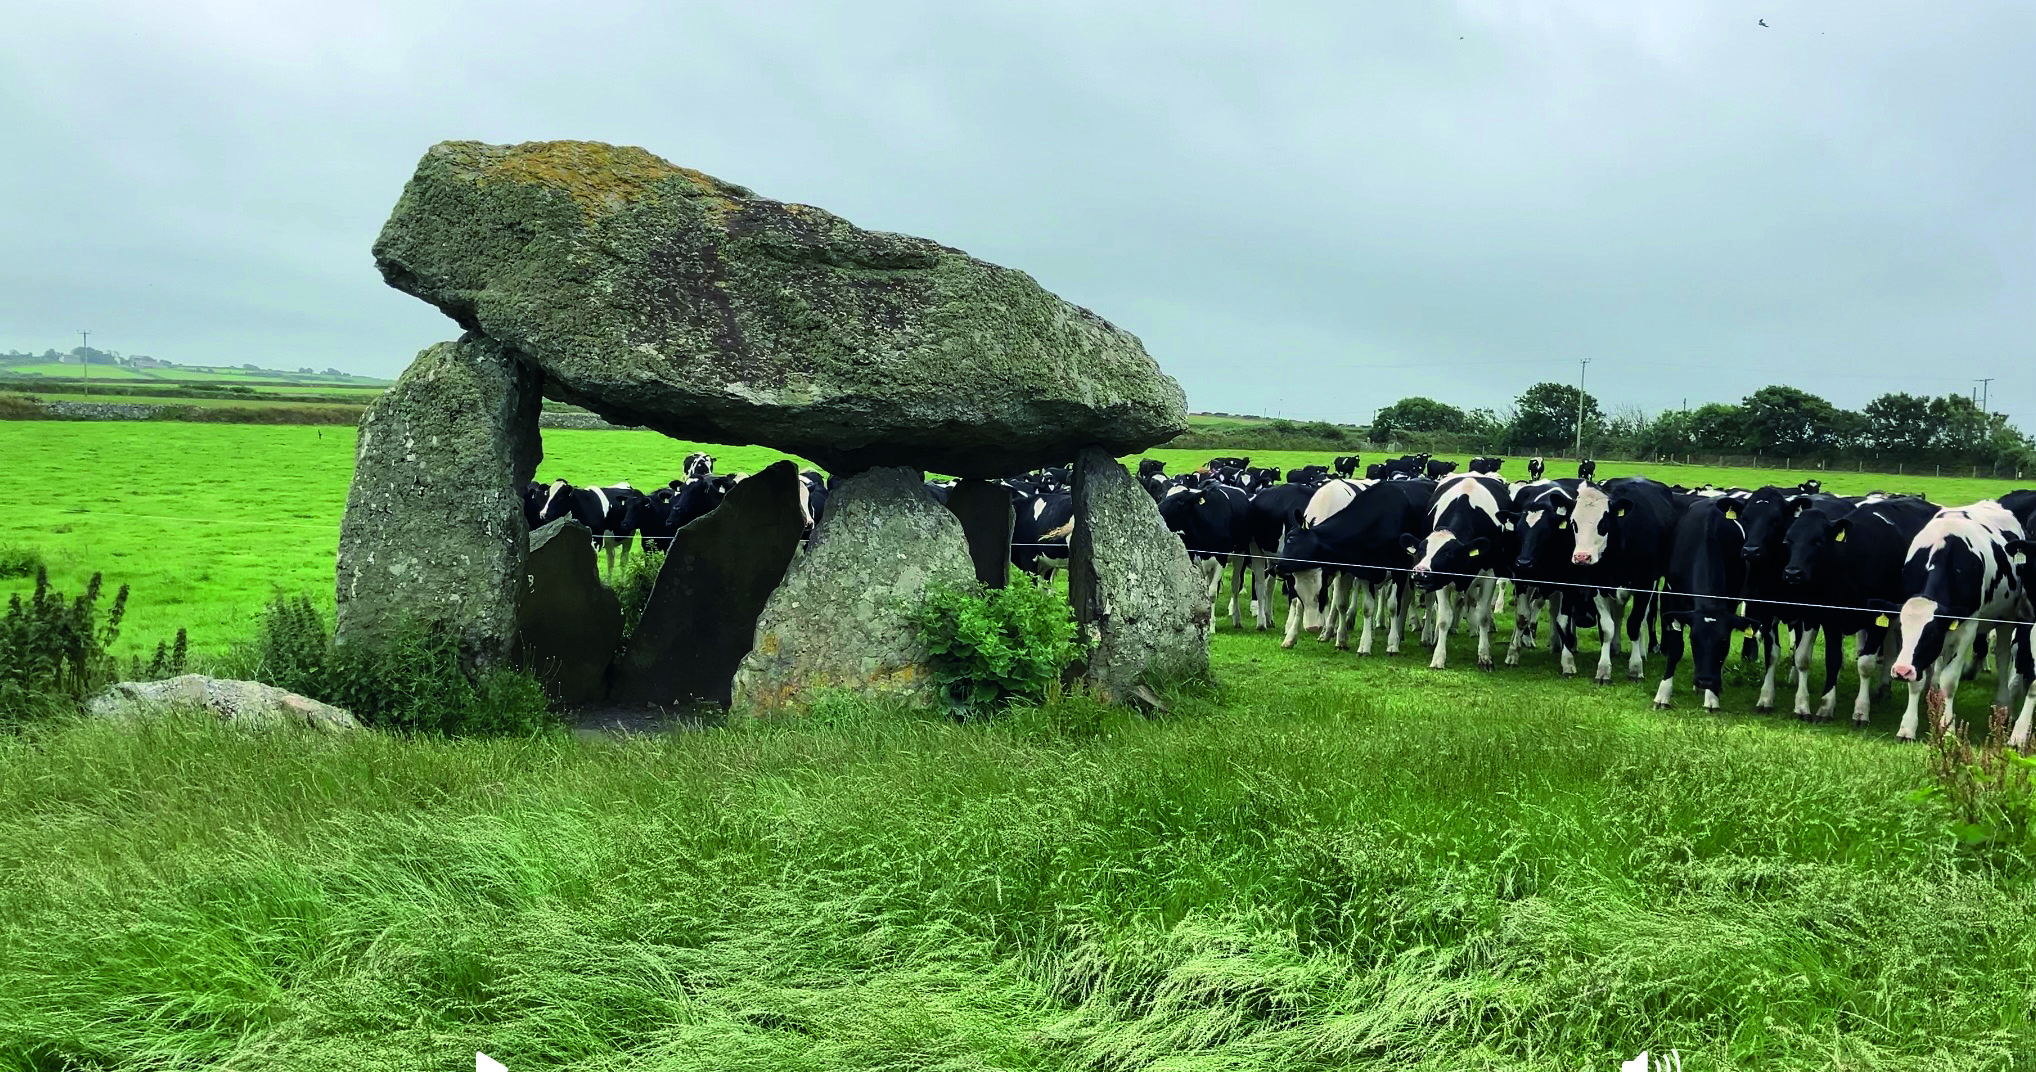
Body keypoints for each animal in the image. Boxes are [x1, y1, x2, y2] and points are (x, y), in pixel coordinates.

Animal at [1277, 478, 1431, 654]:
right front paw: (1292, 637)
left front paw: (1392, 643)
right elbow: (1351, 605)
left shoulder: (1397, 568)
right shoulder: (1360, 570)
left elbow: (1391, 605)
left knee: (1411, 598)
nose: (1313, 627)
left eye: (1320, 593)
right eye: (1298, 591)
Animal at [1403, 473, 1514, 670]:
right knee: (1433, 605)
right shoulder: (1440, 580)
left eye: (1449, 554)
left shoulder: (1490, 575)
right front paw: (1438, 657)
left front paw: (1484, 656)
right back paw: (1430, 636)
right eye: (1422, 550)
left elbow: (1483, 616)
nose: (1420, 572)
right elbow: (1443, 618)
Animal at [1568, 477, 1681, 684]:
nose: (1582, 557)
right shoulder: (1599, 586)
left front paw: (1635, 668)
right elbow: (1607, 628)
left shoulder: (1644, 585)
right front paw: (1603, 669)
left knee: (1645, 616)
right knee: (1618, 615)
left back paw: (1642, 651)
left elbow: (1634, 624)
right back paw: (1615, 647)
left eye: (1603, 522)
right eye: (1574, 522)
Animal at [1777, 494, 1939, 723]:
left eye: (1818, 541)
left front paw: (1861, 711)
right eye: (1788, 540)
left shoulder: (1876, 619)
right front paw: (1826, 707)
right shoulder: (1831, 618)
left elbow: (1865, 664)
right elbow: (1833, 660)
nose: (1792, 572)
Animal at [1883, 501, 2028, 741]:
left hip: (2006, 617)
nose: (1902, 671)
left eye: (1930, 633)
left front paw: (1948, 729)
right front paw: (1907, 727)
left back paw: (2003, 705)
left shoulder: (1968, 627)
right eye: (1901, 631)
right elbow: (1919, 681)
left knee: (2002, 657)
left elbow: (1949, 681)